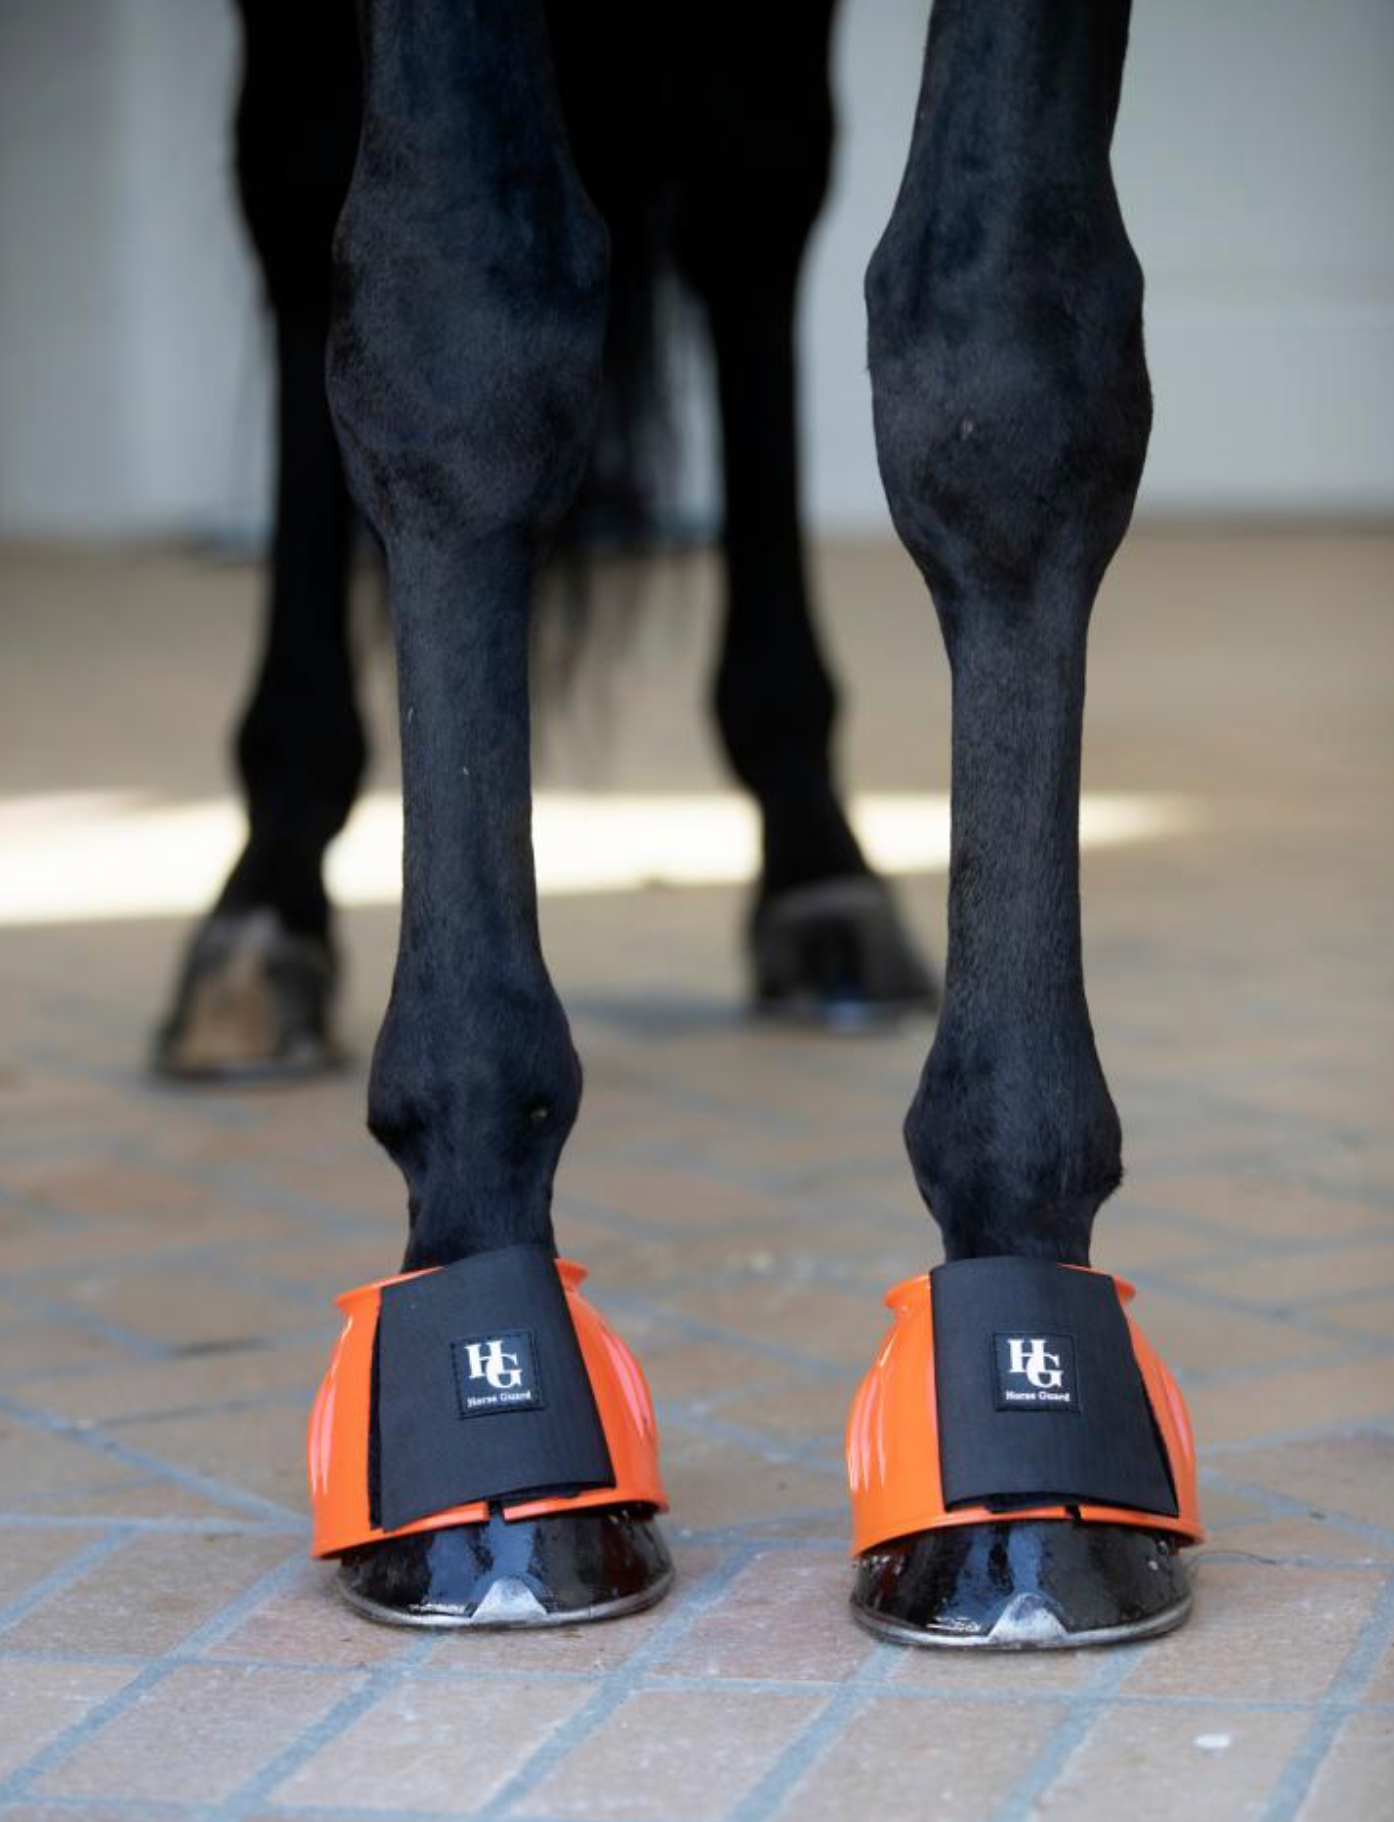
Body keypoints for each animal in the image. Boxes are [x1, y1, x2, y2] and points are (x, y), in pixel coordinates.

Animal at [180, 0, 1206, 1646]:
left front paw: (1024, 1470)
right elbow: (453, 316)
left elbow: (1000, 362)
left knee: (750, 199)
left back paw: (817, 869)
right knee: (287, 194)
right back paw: (261, 902)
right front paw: (477, 1227)